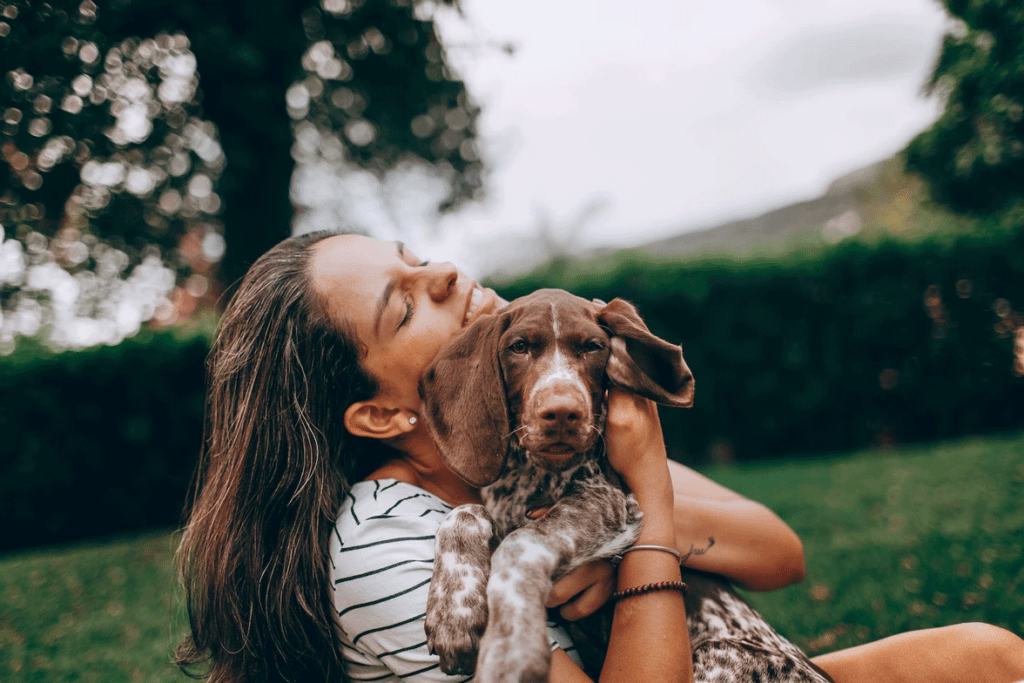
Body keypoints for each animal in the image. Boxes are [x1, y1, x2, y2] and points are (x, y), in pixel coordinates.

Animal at [419, 290, 827, 683]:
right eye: (519, 347)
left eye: (592, 347)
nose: (563, 413)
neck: (531, 474)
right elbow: (462, 513)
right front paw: (454, 612)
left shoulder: (607, 502)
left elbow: (519, 544)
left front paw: (510, 647)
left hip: (719, 651)